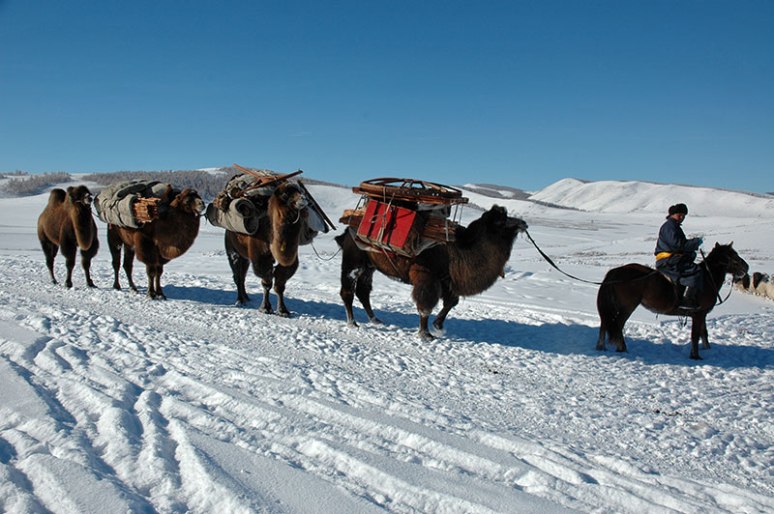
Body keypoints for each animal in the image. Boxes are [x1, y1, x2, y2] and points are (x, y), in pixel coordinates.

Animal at [225, 181, 309, 316]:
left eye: (300, 191)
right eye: (285, 194)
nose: (303, 199)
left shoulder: (289, 261)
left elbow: (280, 285)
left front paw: (283, 310)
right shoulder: (261, 258)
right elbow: (267, 283)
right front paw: (265, 308)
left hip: (245, 257)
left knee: (242, 275)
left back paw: (246, 297)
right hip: (232, 249)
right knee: (238, 275)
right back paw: (240, 300)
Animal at [336, 205, 528, 339]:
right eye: (500, 220)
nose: (523, 223)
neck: (461, 249)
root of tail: (347, 230)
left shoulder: (446, 281)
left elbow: (451, 303)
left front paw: (438, 326)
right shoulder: (427, 277)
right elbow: (425, 306)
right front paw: (425, 334)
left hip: (369, 266)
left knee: (363, 291)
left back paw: (375, 319)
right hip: (353, 262)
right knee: (347, 291)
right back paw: (353, 323)